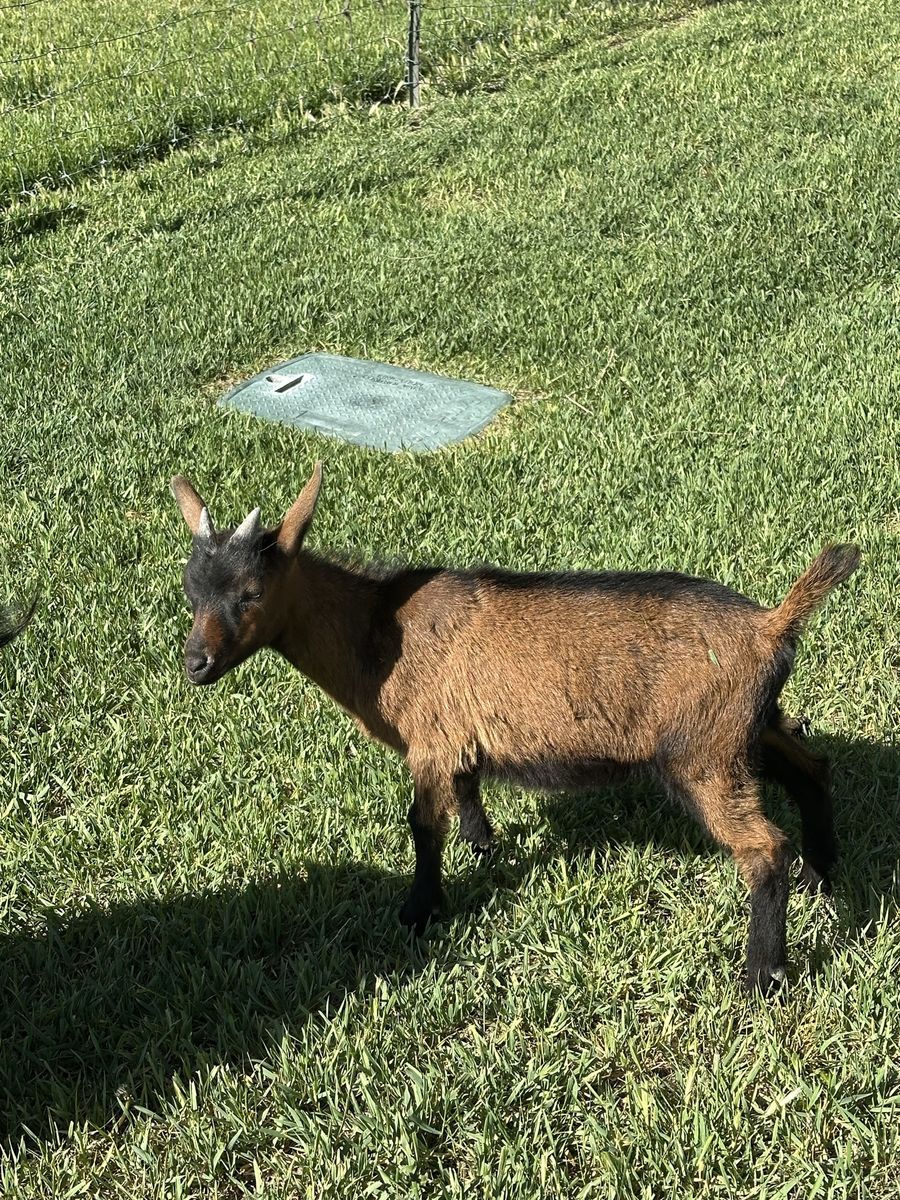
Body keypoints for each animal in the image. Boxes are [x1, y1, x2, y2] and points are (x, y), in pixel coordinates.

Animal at [171, 464, 859, 995]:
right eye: (190, 590)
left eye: (251, 593)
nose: (194, 662)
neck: (378, 630)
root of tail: (770, 626)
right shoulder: (459, 745)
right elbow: (468, 802)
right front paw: (483, 855)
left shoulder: (430, 741)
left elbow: (423, 826)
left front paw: (419, 912)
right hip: (749, 729)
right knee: (811, 767)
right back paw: (822, 873)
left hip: (705, 753)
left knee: (764, 847)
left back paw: (762, 975)